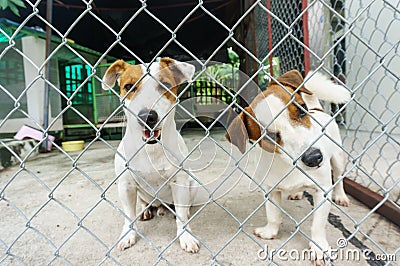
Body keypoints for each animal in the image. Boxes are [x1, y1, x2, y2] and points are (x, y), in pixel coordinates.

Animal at [101, 58, 199, 254]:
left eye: (165, 85)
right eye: (129, 86)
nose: (147, 116)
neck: (151, 149)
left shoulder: (180, 182)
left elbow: (182, 218)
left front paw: (186, 235)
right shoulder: (126, 185)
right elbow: (128, 216)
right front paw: (128, 235)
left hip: (192, 184)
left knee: (181, 207)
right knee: (145, 203)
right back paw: (146, 211)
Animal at [225, 69, 350, 264]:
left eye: (302, 110)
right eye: (269, 136)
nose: (314, 157)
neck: (288, 166)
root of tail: (317, 109)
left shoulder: (322, 190)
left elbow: (318, 225)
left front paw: (318, 247)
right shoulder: (270, 190)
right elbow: (273, 215)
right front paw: (270, 232)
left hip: (337, 158)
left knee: (339, 177)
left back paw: (341, 196)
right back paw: (296, 193)